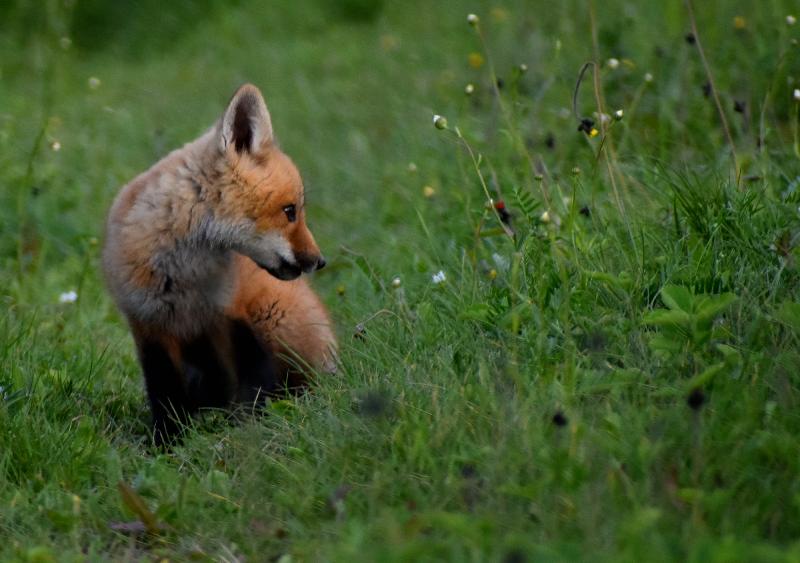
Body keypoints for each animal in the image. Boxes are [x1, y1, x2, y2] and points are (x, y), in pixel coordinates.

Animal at [102, 83, 334, 446]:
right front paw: (166, 444)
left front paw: (247, 432)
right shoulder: (148, 325)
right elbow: (164, 395)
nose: (320, 261)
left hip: (272, 317)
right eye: (290, 211)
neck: (184, 277)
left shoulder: (229, 314)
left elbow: (253, 384)